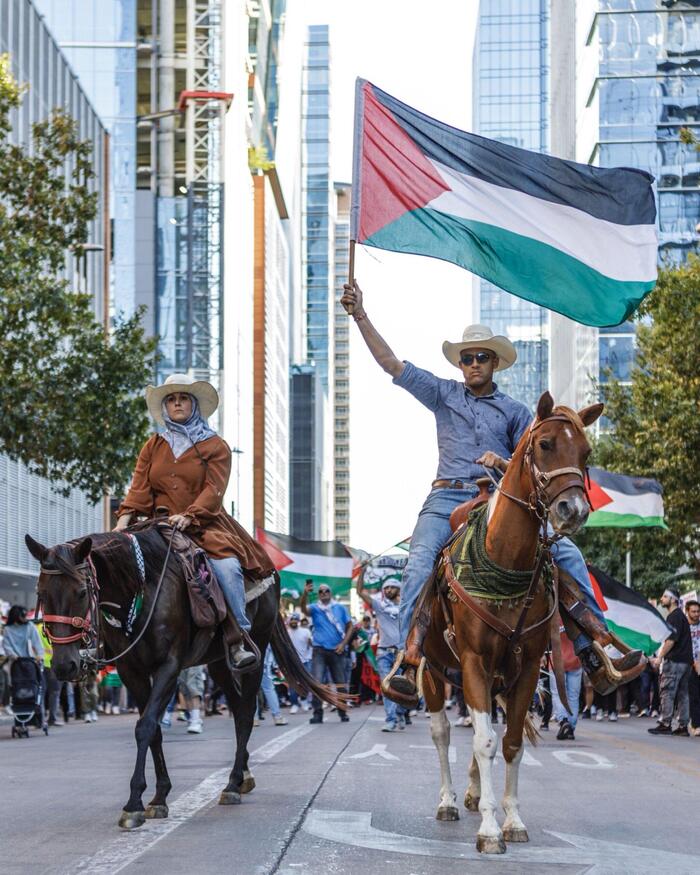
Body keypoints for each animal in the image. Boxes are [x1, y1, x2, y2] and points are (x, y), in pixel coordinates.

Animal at [21, 528, 340, 828]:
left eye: (80, 592)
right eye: (41, 593)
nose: (64, 666)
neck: (142, 588)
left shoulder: (169, 667)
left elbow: (145, 726)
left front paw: (134, 804)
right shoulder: (132, 672)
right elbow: (153, 729)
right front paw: (159, 796)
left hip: (256, 652)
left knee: (247, 711)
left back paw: (232, 782)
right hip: (219, 664)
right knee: (238, 708)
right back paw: (243, 776)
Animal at [416, 396, 600, 856]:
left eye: (585, 452)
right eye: (546, 444)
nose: (573, 510)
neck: (504, 556)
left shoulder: (528, 666)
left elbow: (511, 742)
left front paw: (512, 820)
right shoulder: (474, 661)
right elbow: (483, 742)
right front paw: (488, 830)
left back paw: (471, 792)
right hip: (433, 669)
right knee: (442, 732)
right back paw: (448, 800)